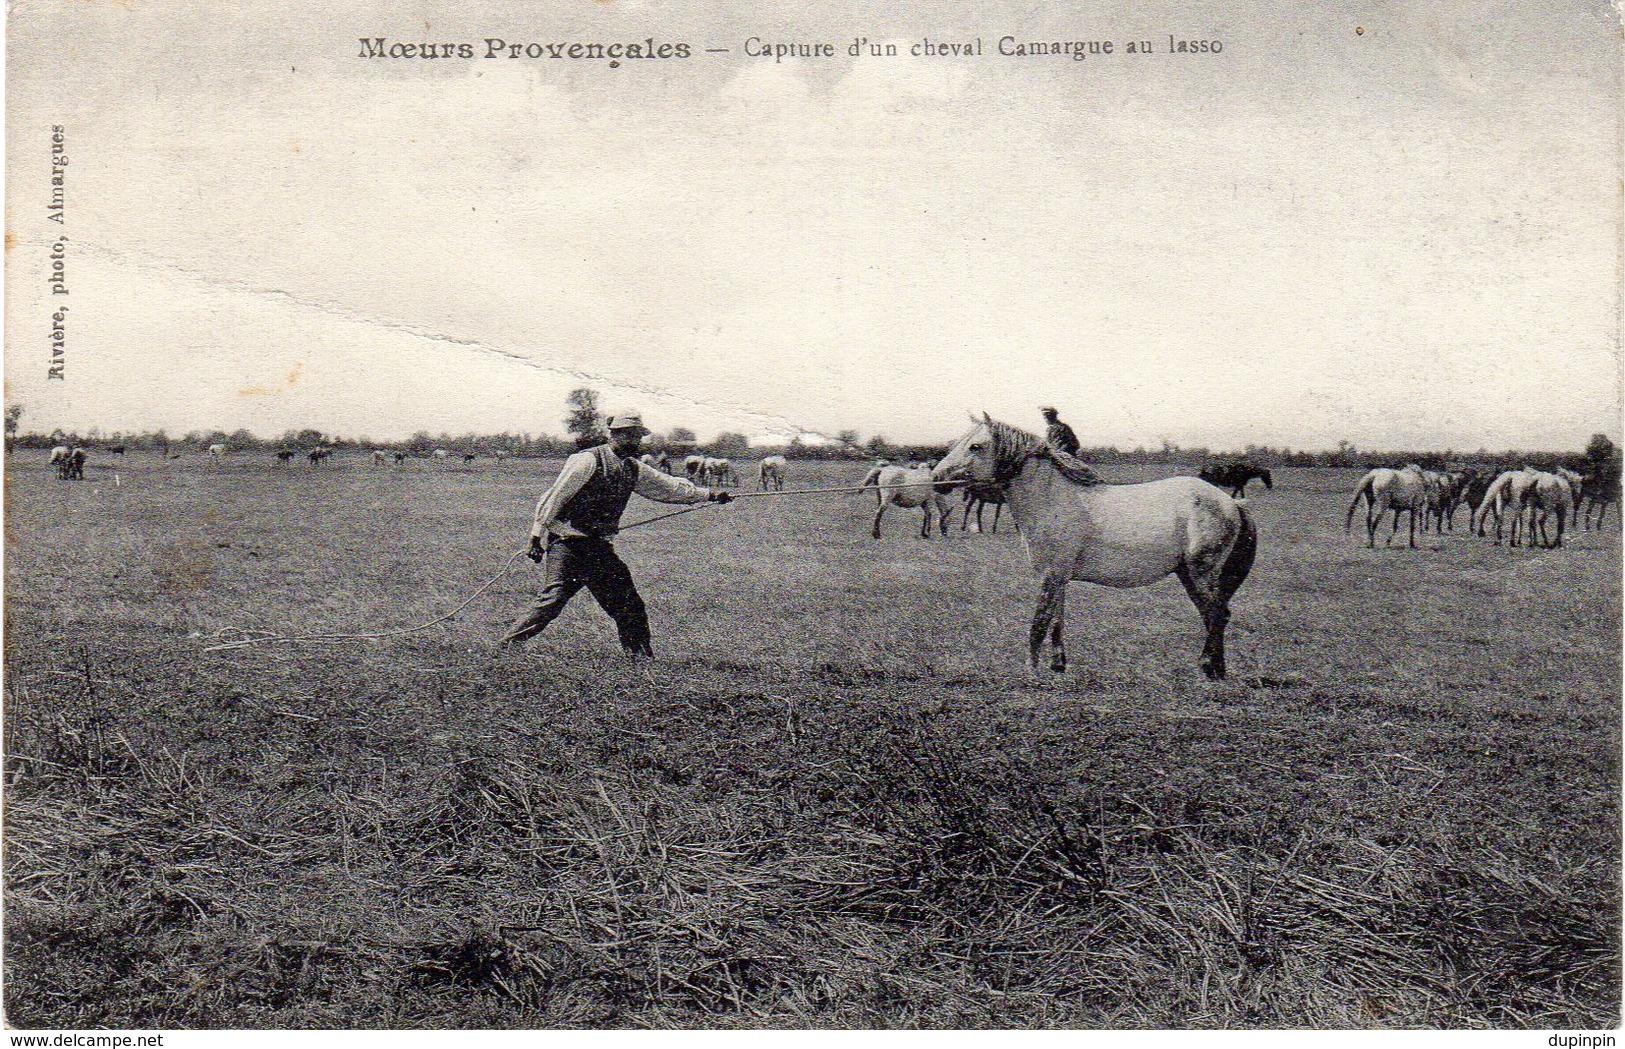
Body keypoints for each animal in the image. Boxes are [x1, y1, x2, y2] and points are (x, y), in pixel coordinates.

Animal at [929, 415, 1254, 682]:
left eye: (975, 446)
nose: (936, 479)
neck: (1053, 500)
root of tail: (1231, 502)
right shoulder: (1058, 577)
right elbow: (1056, 620)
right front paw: (1057, 665)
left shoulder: (1050, 575)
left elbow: (1039, 623)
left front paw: (1031, 670)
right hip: (1187, 574)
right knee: (1212, 614)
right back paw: (1215, 669)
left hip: (1202, 571)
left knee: (1217, 614)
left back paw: (1209, 667)